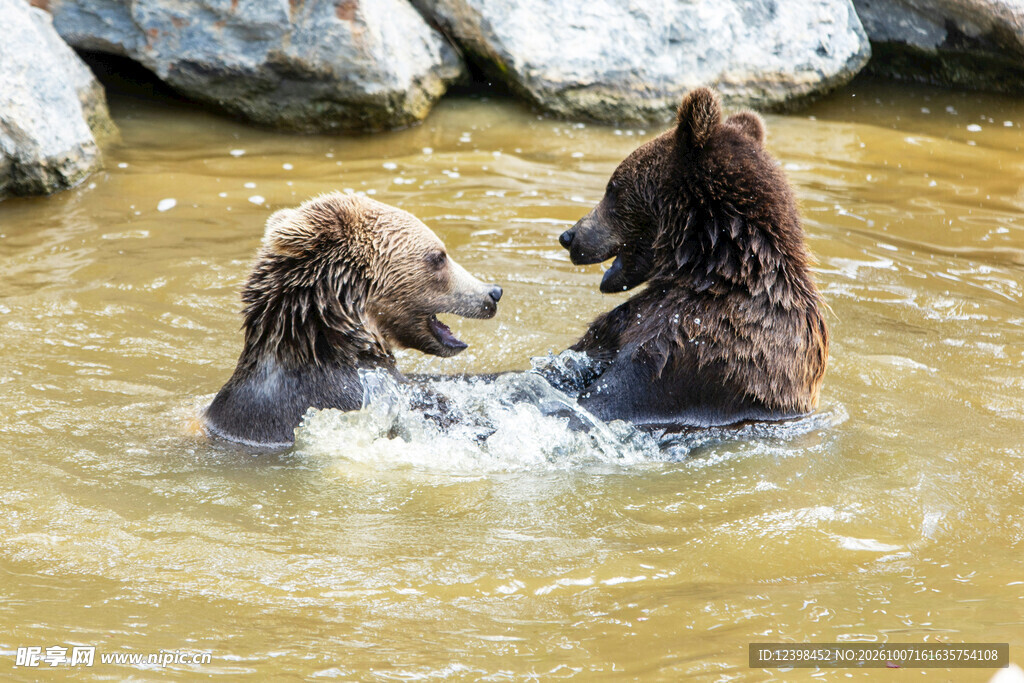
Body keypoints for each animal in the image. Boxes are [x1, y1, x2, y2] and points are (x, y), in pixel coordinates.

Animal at [556, 87, 828, 428]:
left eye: (613, 188)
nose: (569, 236)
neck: (711, 266)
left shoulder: (697, 345)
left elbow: (618, 392)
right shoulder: (626, 325)